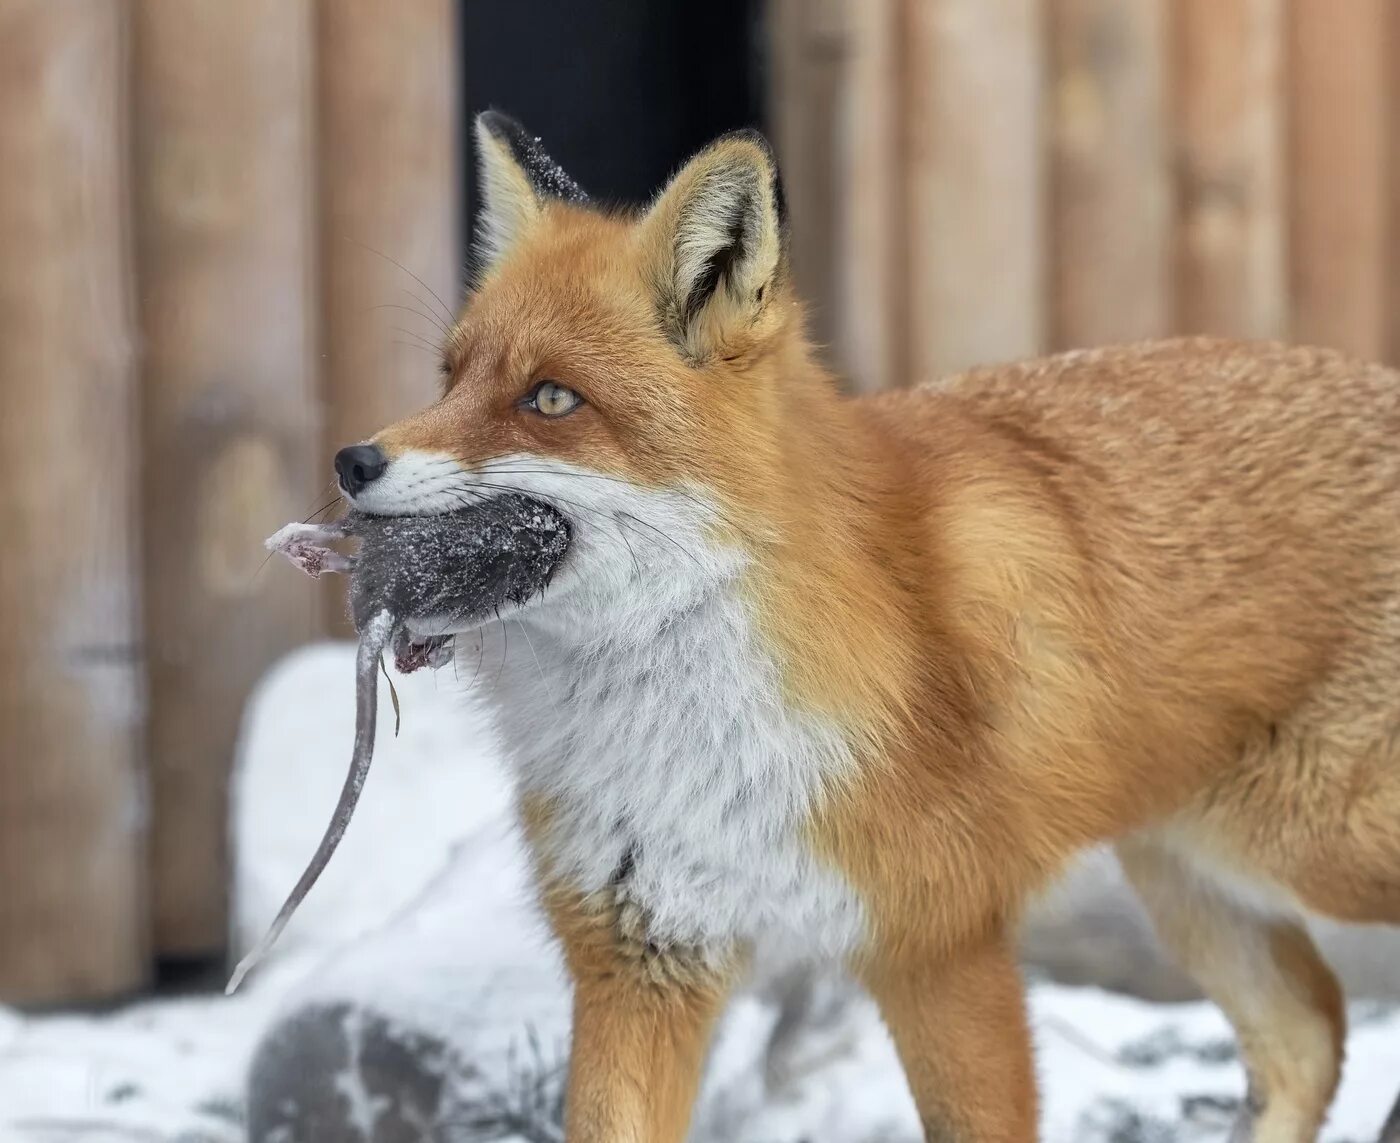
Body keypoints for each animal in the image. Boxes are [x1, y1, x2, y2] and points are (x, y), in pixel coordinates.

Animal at [333, 114, 1400, 1143]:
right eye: (447, 376)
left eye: (551, 398)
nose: (352, 461)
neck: (686, 736)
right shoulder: (640, 952)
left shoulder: (940, 940)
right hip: (1191, 872)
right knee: (1311, 1034)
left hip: (1309, 845)